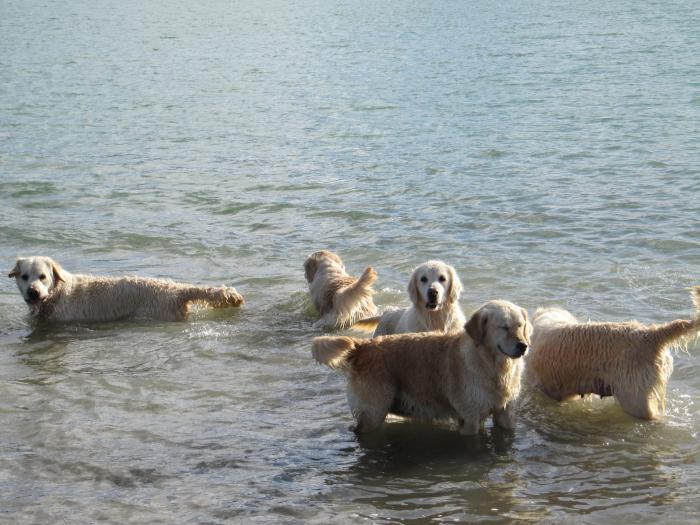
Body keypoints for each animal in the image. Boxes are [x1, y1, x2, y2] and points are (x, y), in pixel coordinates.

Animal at [312, 298, 532, 434]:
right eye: (503, 327)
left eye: (521, 325)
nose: (523, 346)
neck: (493, 365)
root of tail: (363, 346)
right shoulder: (470, 418)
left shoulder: (505, 414)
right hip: (373, 411)